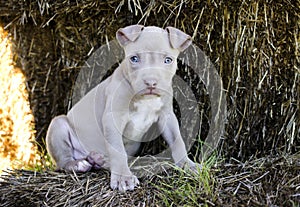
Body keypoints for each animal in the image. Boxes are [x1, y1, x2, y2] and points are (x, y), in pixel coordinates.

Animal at [45, 25, 200, 192]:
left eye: (168, 60)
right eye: (134, 59)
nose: (151, 82)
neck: (145, 99)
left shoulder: (167, 116)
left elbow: (178, 140)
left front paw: (187, 164)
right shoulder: (113, 119)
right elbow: (117, 150)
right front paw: (123, 178)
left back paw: (97, 160)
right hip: (58, 125)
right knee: (63, 161)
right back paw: (78, 164)